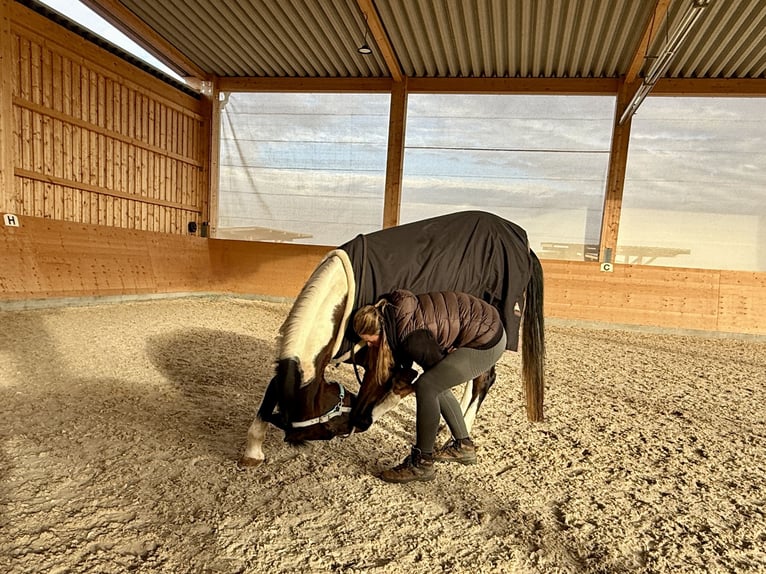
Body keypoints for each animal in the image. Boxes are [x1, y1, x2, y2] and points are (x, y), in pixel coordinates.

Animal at [239, 211, 545, 467]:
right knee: (473, 377)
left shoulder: (388, 359)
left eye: (325, 431)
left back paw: (460, 433)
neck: (344, 298)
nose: (347, 426)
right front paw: (252, 452)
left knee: (484, 379)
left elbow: (396, 388)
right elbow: (270, 395)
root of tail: (523, 243)